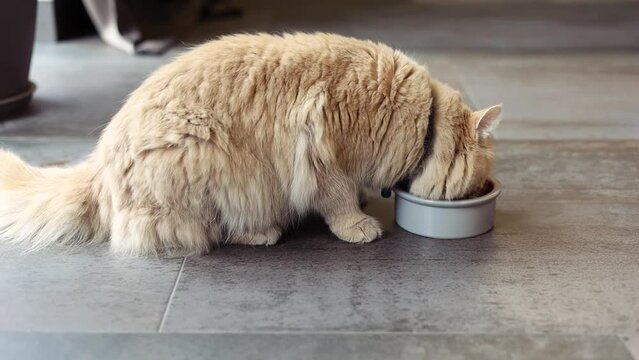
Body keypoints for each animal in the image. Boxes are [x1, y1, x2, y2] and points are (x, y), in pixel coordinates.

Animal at [0, 32, 500, 255]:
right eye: (478, 182)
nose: (483, 191)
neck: (422, 118)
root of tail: (99, 170)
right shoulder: (320, 147)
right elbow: (337, 199)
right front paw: (357, 225)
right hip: (213, 163)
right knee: (210, 232)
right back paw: (263, 232)